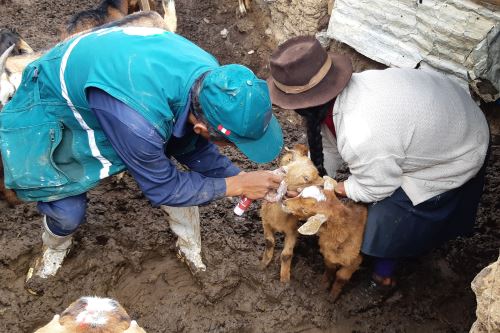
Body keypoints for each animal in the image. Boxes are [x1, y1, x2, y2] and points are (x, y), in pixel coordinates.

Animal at [258, 144, 324, 282]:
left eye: (306, 178)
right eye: (291, 161)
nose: (282, 170)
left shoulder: (292, 231)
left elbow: (286, 254)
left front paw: (284, 279)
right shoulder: (265, 221)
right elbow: (269, 241)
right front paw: (263, 264)